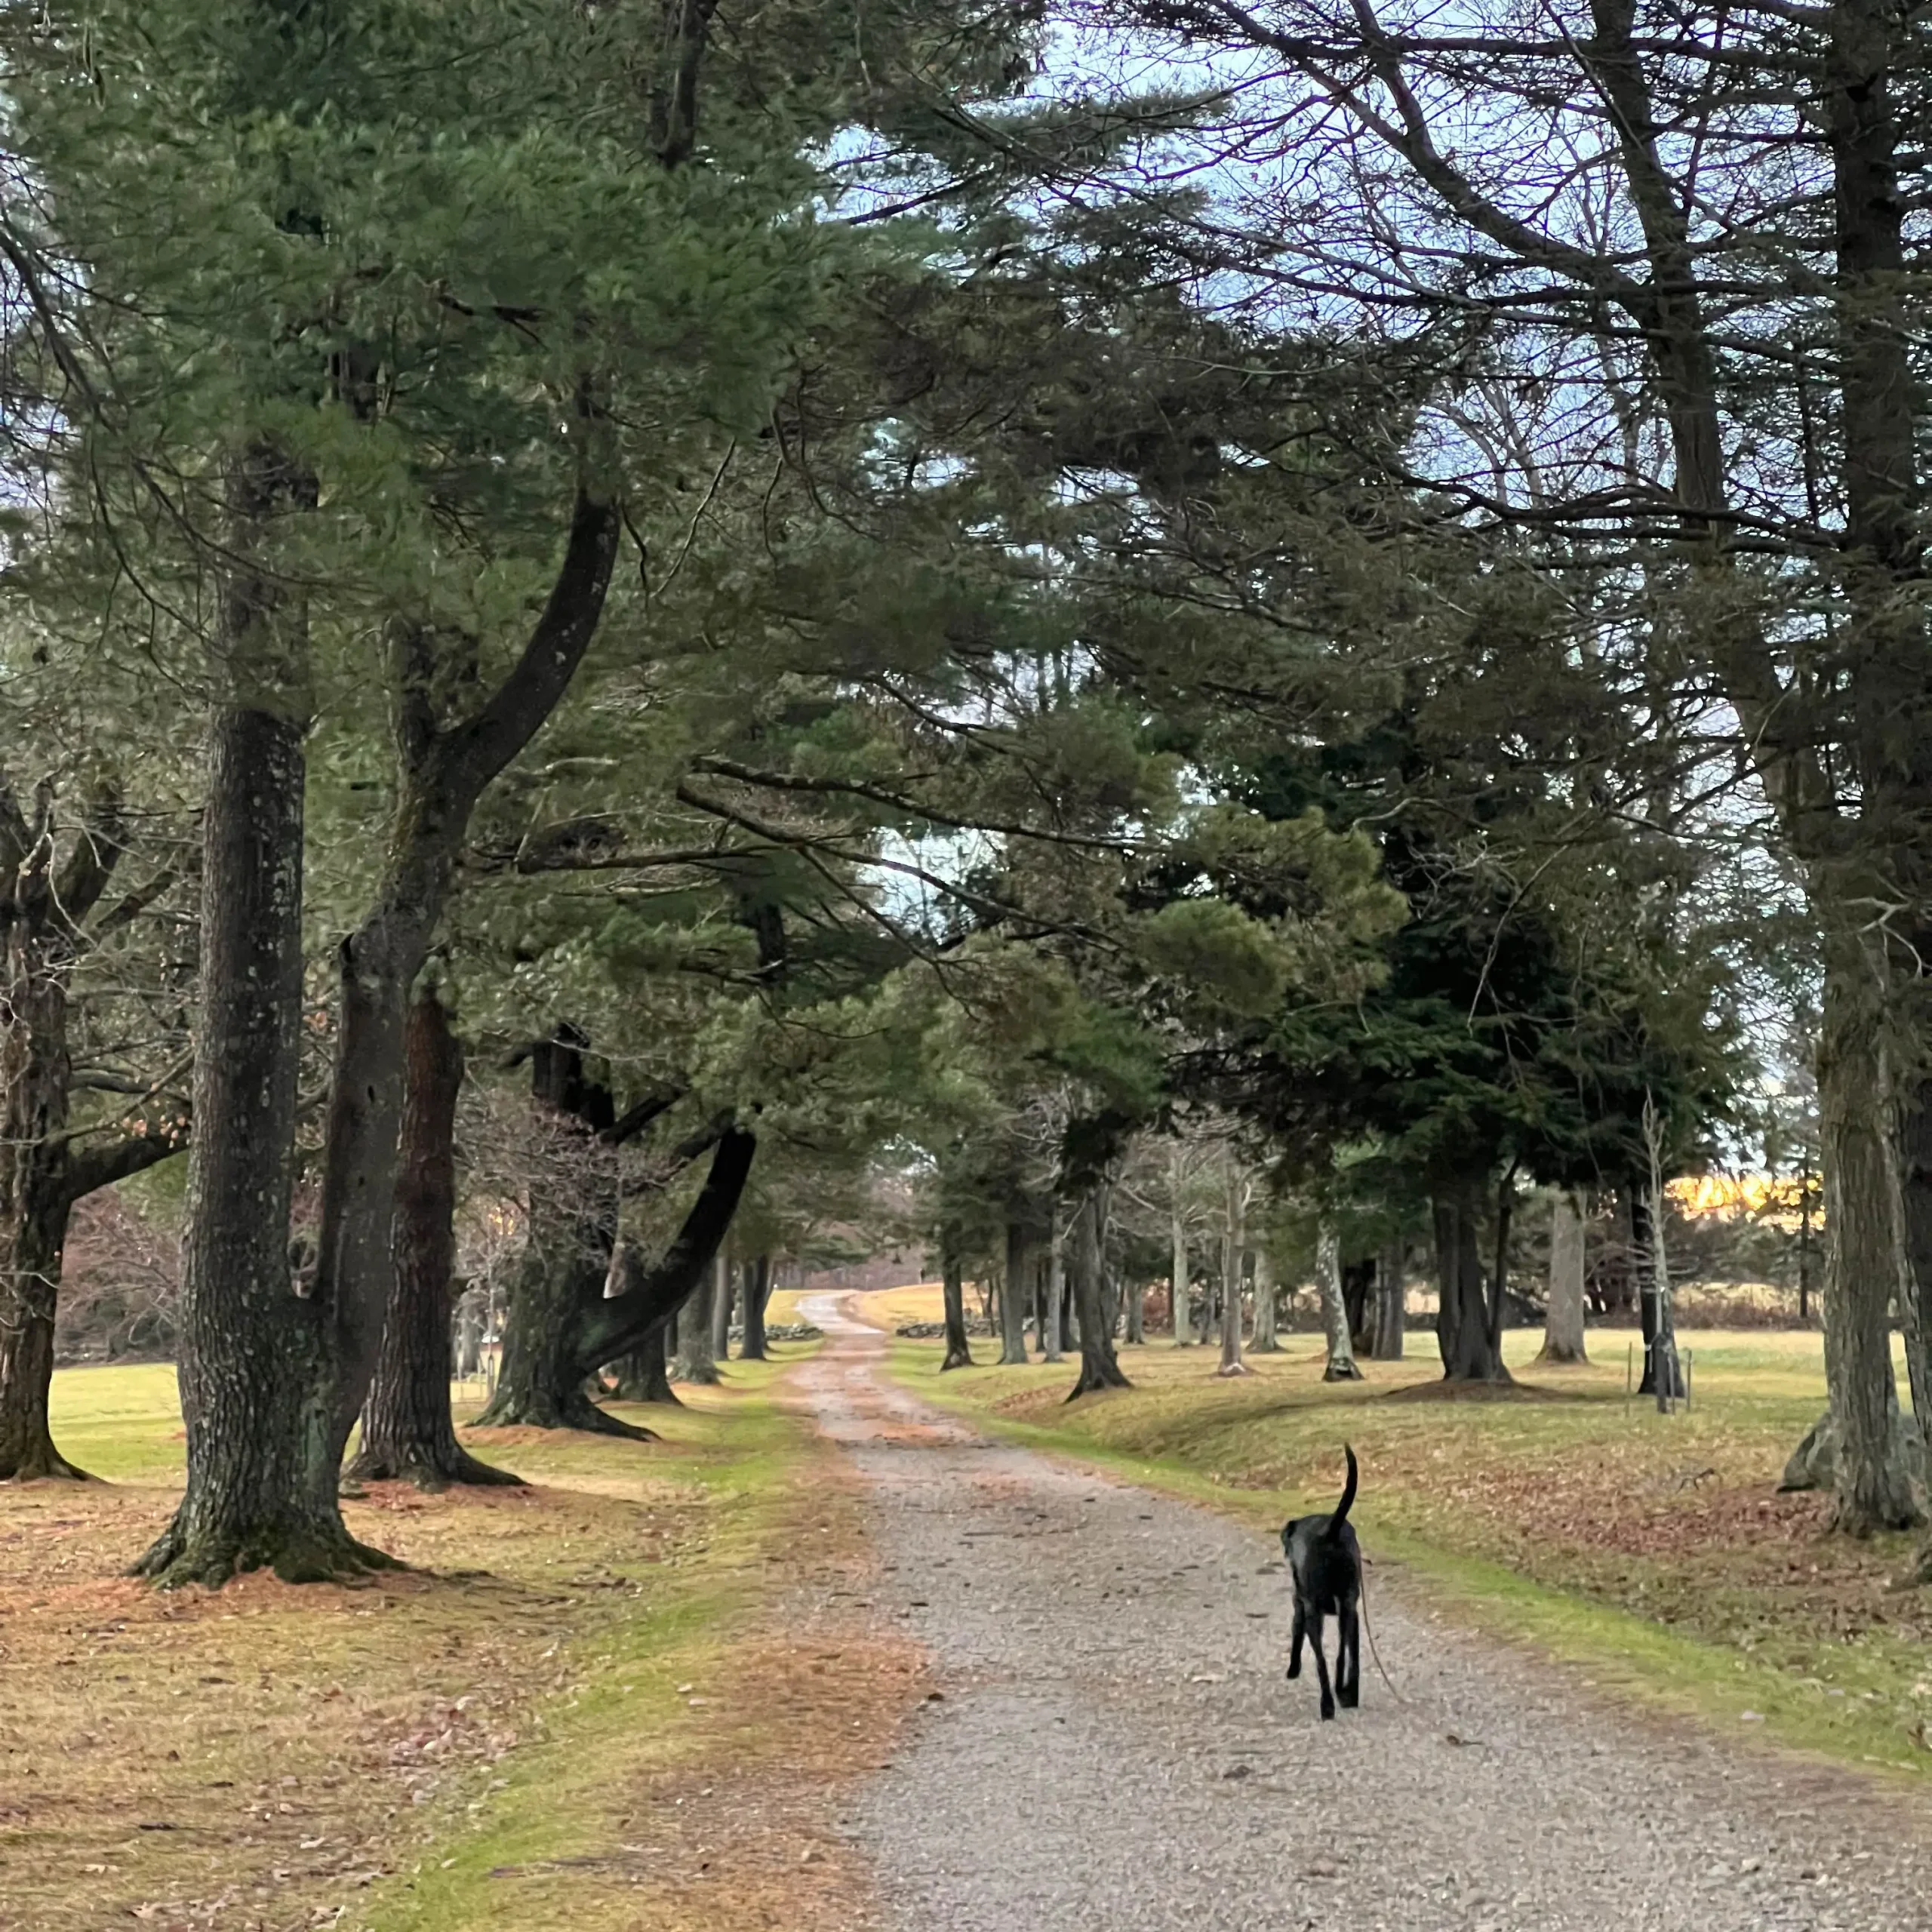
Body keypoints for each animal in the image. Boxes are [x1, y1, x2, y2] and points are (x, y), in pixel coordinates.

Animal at [1282, 1453, 1360, 1723]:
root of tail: (1331, 1531)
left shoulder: (1300, 1607)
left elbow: (1296, 1637)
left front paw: (1292, 1670)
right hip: (1350, 1609)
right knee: (1348, 1657)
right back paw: (1348, 1695)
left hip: (1314, 1613)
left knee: (1322, 1661)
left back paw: (1327, 1706)